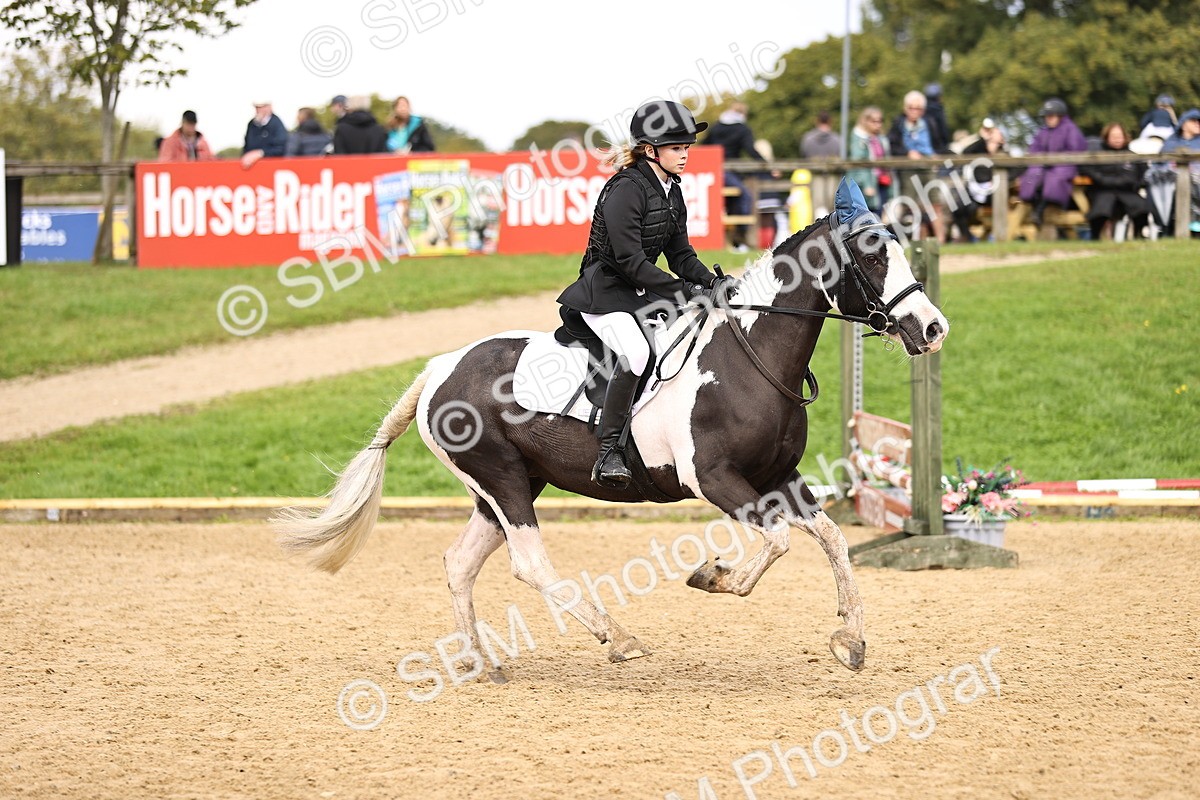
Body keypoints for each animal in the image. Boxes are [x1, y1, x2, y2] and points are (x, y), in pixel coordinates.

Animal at [275, 178, 949, 675]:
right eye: (871, 255)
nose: (933, 328)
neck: (749, 352)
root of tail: (440, 368)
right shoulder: (716, 480)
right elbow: (778, 541)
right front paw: (713, 576)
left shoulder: (780, 478)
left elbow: (832, 539)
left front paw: (850, 640)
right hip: (503, 482)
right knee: (530, 565)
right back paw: (618, 638)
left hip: (504, 488)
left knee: (460, 564)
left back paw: (483, 663)